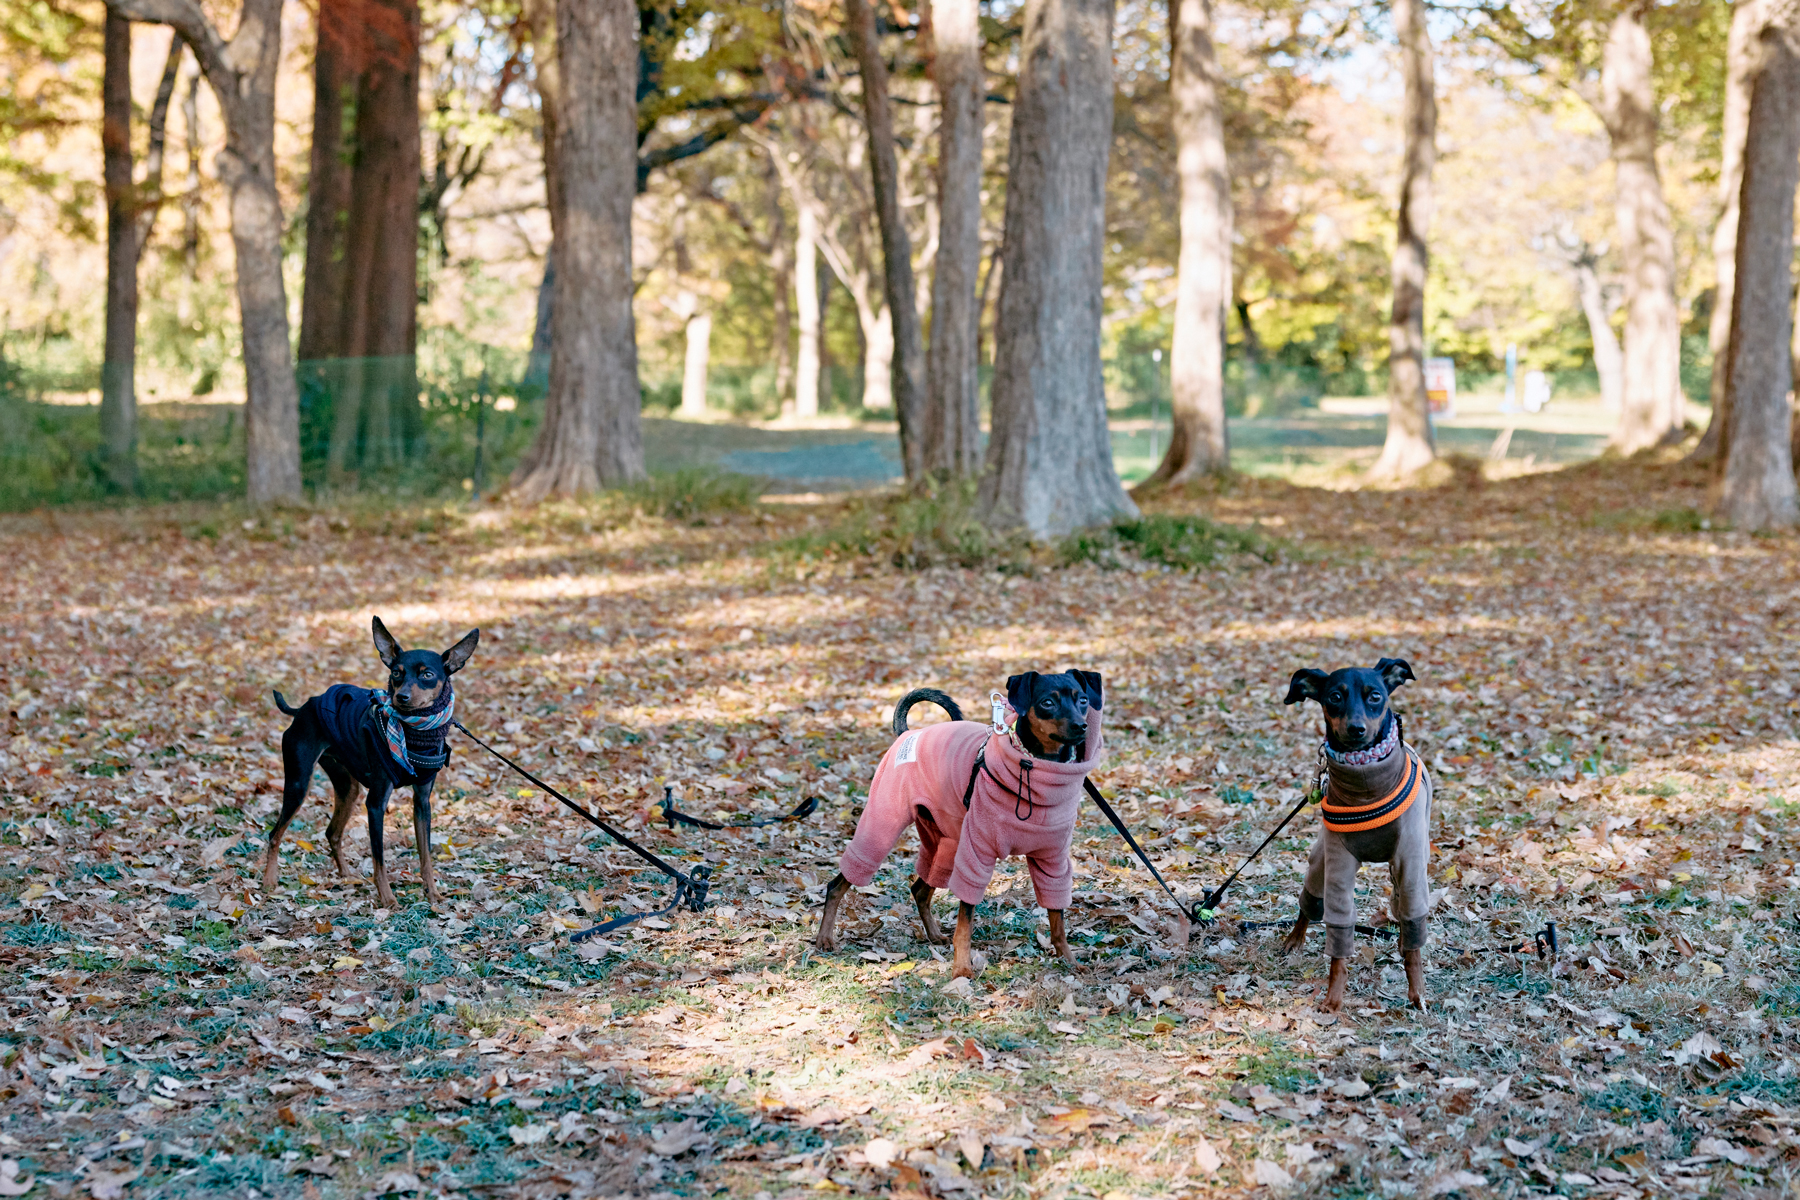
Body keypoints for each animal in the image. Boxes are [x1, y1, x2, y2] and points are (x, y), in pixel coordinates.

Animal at [813, 672, 1094, 978]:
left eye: (1082, 700)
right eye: (1047, 703)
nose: (1081, 726)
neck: (1039, 772)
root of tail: (907, 734)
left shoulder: (1052, 862)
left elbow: (1057, 919)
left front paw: (1070, 961)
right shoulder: (977, 855)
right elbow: (965, 923)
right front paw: (961, 969)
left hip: (945, 841)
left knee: (920, 889)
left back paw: (934, 935)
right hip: (882, 827)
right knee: (838, 884)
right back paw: (824, 939)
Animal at [1281, 662, 1432, 1007]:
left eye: (1375, 696)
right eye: (1335, 697)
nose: (1356, 729)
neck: (1365, 784)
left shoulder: (1410, 861)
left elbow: (1414, 931)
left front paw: (1416, 992)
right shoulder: (1338, 863)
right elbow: (1338, 933)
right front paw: (1333, 1001)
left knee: (1402, 908)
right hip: (1321, 860)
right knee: (1310, 901)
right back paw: (1294, 939)